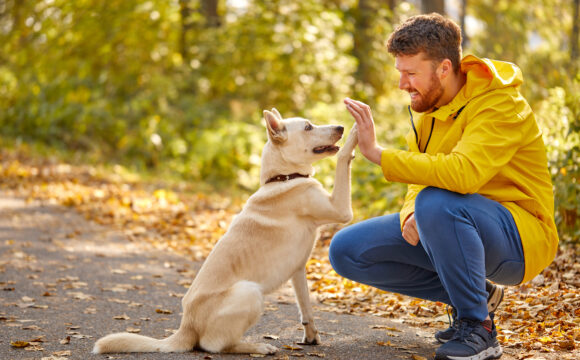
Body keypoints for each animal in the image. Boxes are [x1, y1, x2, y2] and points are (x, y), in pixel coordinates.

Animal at [94, 109, 358, 354]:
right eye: (308, 127)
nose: (340, 127)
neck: (283, 178)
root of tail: (186, 327)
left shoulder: (297, 270)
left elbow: (305, 308)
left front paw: (311, 337)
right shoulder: (341, 209)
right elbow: (343, 157)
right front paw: (357, 130)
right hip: (250, 292)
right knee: (214, 345)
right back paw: (257, 347)